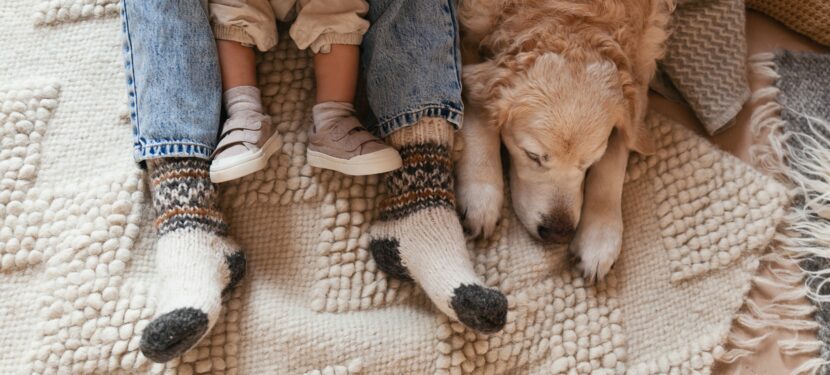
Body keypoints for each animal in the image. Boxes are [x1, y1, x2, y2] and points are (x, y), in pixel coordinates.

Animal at [456, 0, 676, 280]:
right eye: (532, 155)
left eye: (590, 161)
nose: (557, 233)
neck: (575, 15)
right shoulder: (468, 32)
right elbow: (479, 109)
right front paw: (481, 194)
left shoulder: (643, 59)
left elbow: (617, 153)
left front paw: (600, 237)